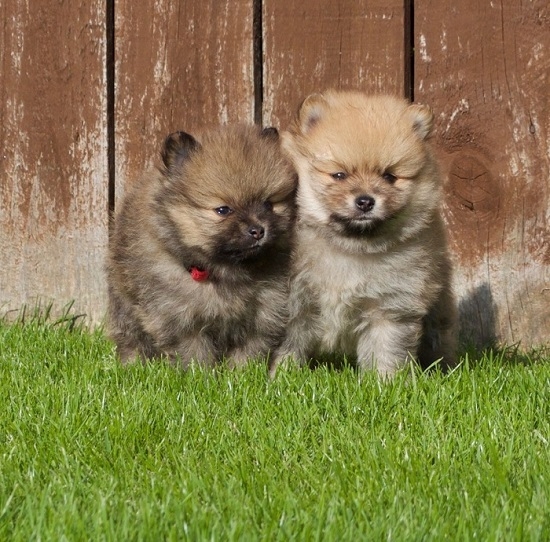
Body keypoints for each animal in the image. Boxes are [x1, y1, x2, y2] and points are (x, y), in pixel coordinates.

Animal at [107, 125, 298, 368]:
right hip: (125, 305)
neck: (225, 273)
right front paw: (200, 373)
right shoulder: (181, 318)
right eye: (223, 210)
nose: (257, 230)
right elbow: (194, 353)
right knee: (132, 338)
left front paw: (241, 372)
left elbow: (250, 349)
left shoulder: (265, 312)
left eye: (268, 204)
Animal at [270, 90, 458, 378]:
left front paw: (387, 381)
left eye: (389, 176)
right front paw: (280, 376)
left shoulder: (390, 306)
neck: (349, 248)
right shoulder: (295, 302)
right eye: (339, 175)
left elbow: (387, 349)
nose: (366, 201)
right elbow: (289, 345)